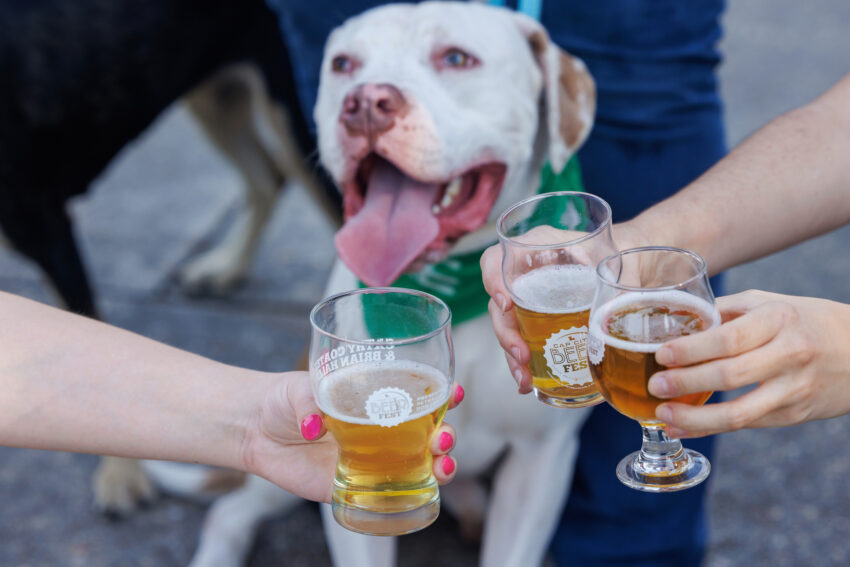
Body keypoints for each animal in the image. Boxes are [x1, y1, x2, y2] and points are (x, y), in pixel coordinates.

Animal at [146, 2, 596, 564]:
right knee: (229, 512)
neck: (447, 288)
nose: (365, 103)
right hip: (275, 477)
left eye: (456, 58)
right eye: (343, 64)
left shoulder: (541, 463)